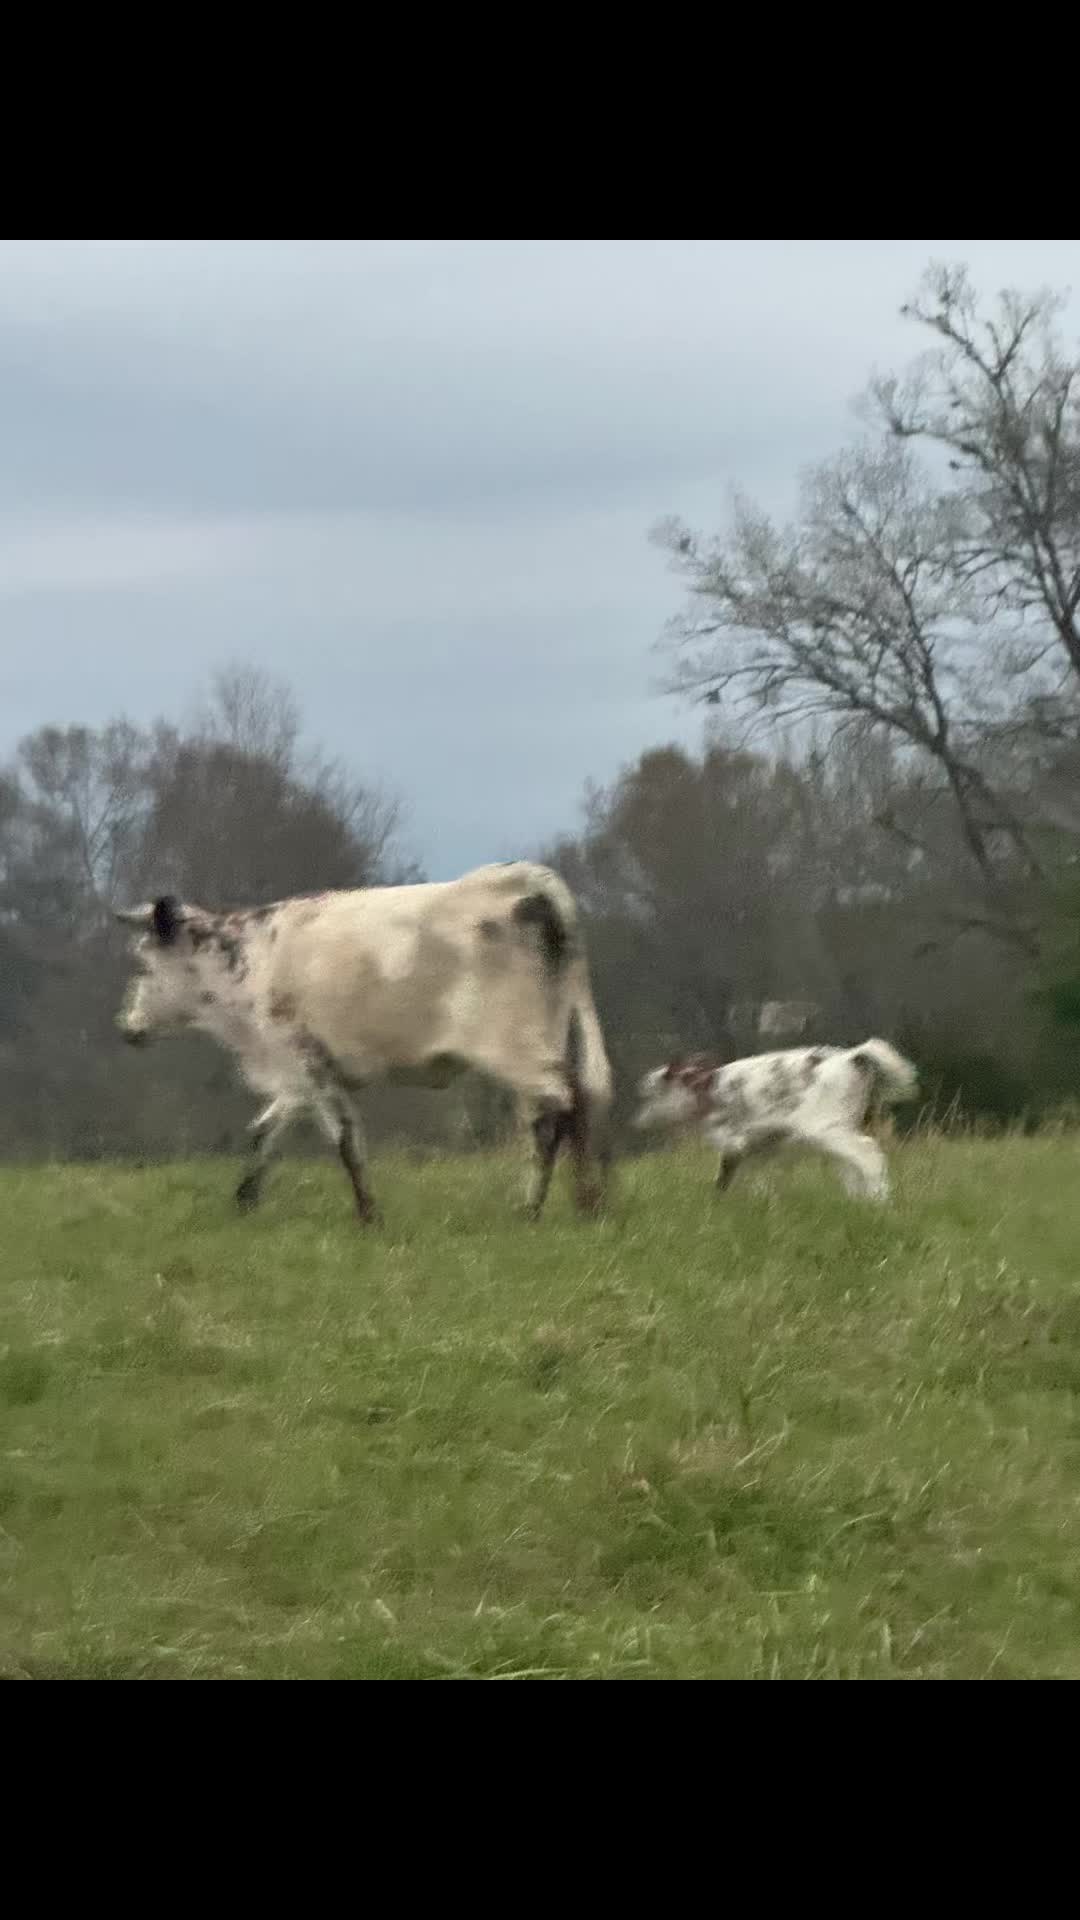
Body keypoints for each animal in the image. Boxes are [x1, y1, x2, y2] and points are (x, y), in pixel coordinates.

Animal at [114, 862, 613, 1225]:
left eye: (142, 965)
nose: (127, 1028)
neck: (248, 964)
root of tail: (524, 877)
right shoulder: (301, 1075)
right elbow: (264, 1132)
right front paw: (244, 1199)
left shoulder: (303, 1061)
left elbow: (344, 1140)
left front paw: (368, 1215)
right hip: (548, 1031)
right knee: (565, 1104)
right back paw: (582, 1203)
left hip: (512, 1046)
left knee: (559, 1105)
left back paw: (552, 1205)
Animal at [632, 1038, 918, 1200]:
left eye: (650, 1093)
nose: (638, 1121)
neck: (708, 1091)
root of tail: (852, 1058)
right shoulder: (761, 1146)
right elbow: (756, 1176)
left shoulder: (735, 1141)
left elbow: (726, 1175)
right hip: (841, 1129)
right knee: (852, 1166)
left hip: (825, 1129)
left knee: (867, 1155)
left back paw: (878, 1201)